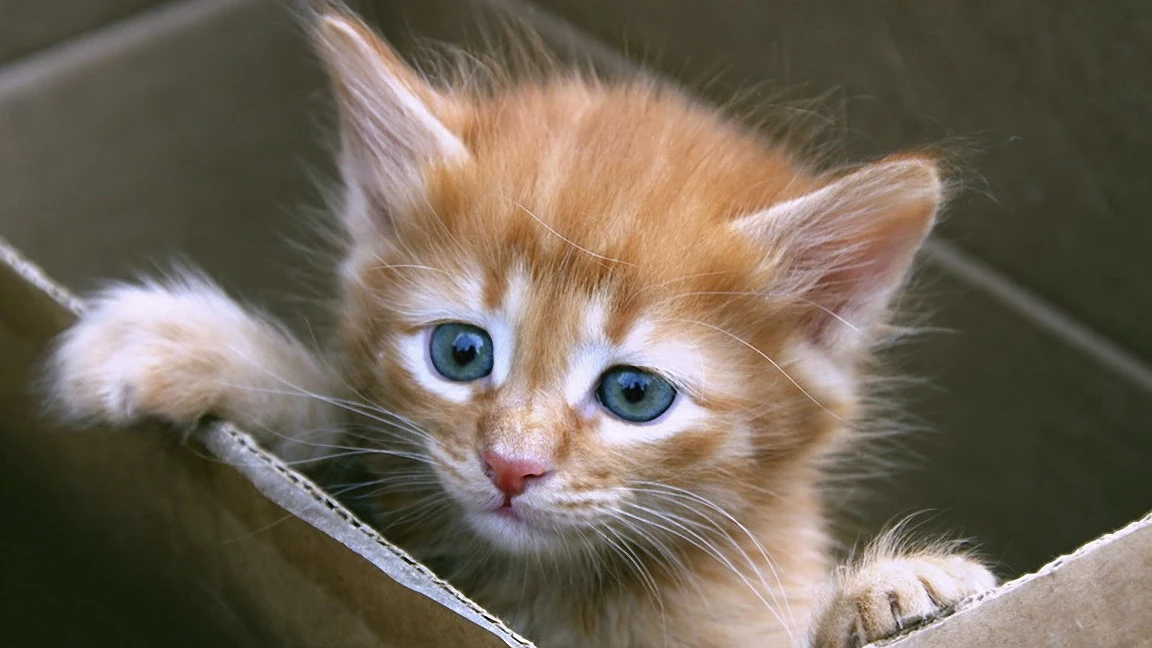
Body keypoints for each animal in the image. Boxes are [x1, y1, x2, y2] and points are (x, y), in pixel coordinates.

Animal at [44, 6, 995, 645]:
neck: (553, 591)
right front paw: (191, 344)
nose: (511, 465)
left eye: (634, 393)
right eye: (462, 352)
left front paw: (894, 592)